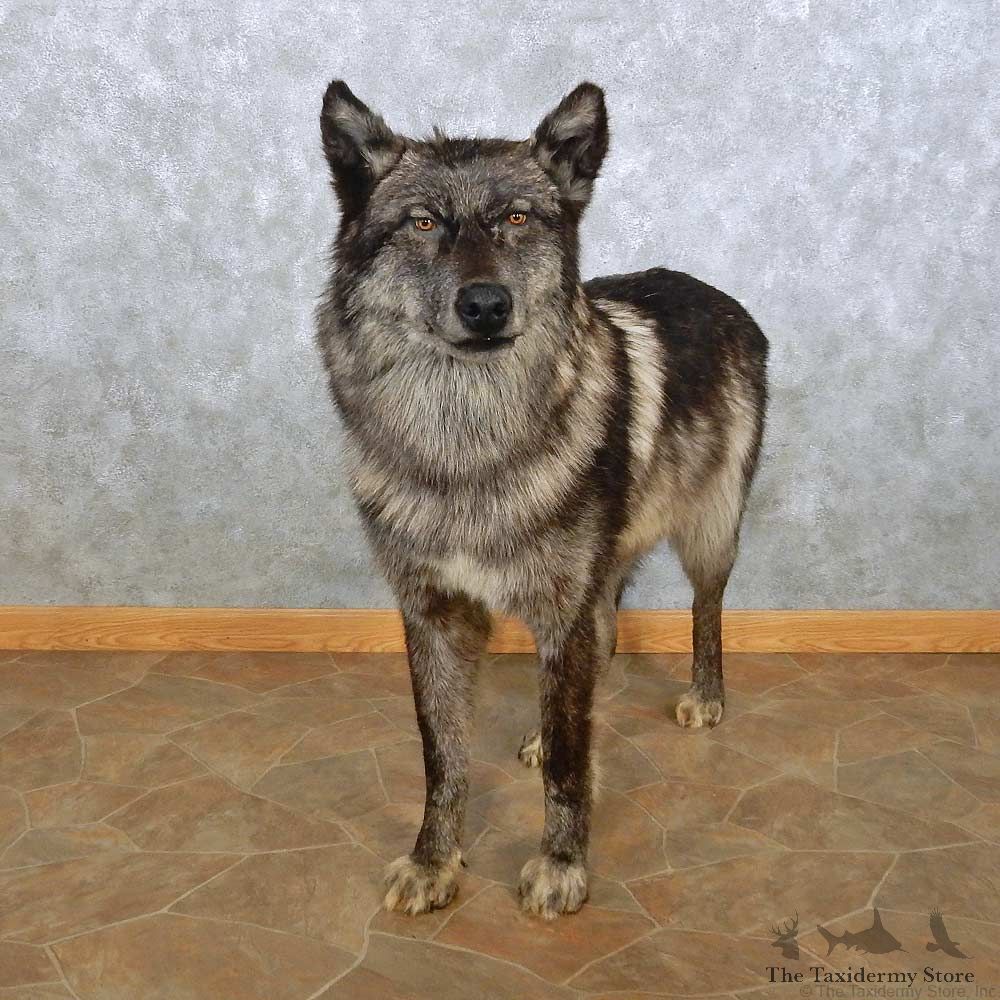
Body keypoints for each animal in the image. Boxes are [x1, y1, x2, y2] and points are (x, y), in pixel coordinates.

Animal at [315, 79, 768, 919]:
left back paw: (705, 695)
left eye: (519, 219)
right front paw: (434, 862)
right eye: (423, 222)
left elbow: (566, 760)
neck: (466, 449)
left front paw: (562, 866)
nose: (486, 305)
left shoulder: (559, 609)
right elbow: (443, 757)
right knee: (603, 645)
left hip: (711, 533)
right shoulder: (434, 617)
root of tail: (712, 292)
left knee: (705, 609)